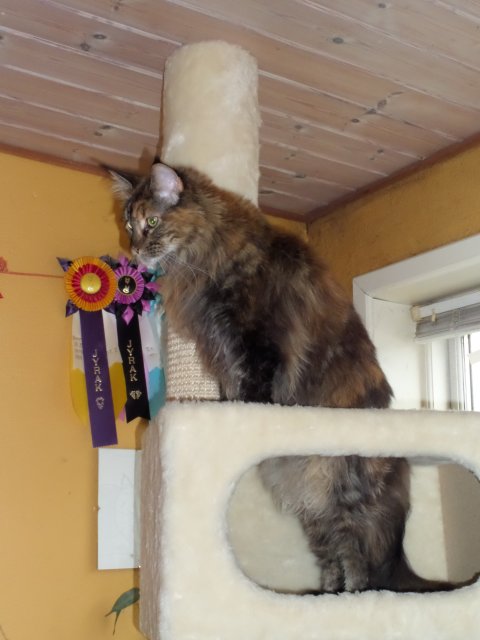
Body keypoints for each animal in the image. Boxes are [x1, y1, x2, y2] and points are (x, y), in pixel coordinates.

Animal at [109, 160, 456, 593]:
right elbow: (231, 389)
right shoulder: (222, 349)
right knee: (332, 556)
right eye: (129, 224)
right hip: (315, 508)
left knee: (358, 559)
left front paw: (247, 415)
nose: (135, 250)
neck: (208, 253)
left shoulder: (257, 341)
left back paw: (353, 599)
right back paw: (323, 598)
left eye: (152, 222)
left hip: (342, 496)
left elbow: (254, 389)